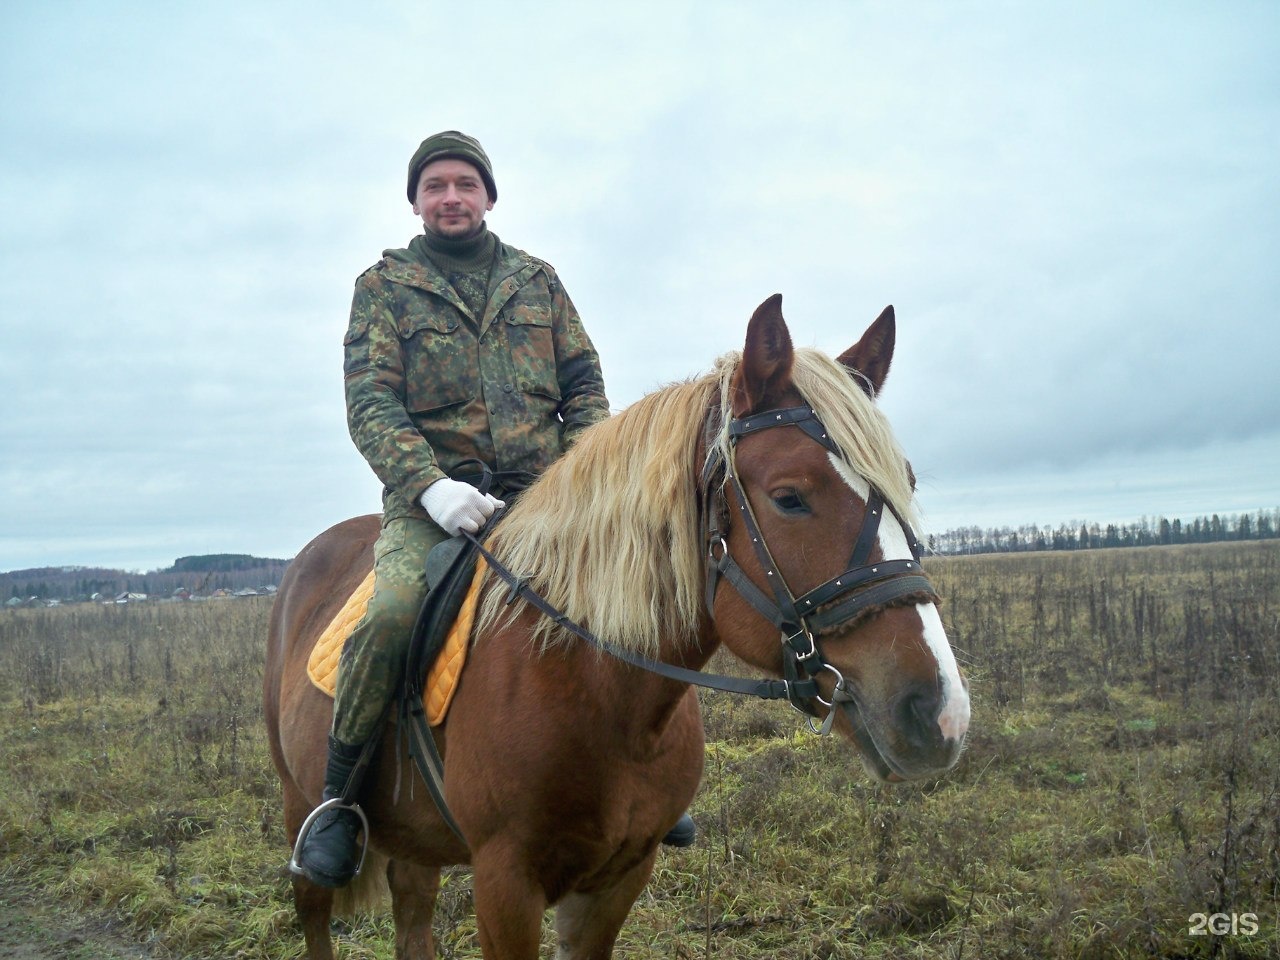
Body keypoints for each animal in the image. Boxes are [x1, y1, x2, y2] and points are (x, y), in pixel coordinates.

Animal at [267, 296, 967, 957]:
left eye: (904, 484)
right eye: (789, 496)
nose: (940, 714)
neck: (594, 691)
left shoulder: (619, 879)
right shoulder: (504, 885)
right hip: (300, 811)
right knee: (315, 917)